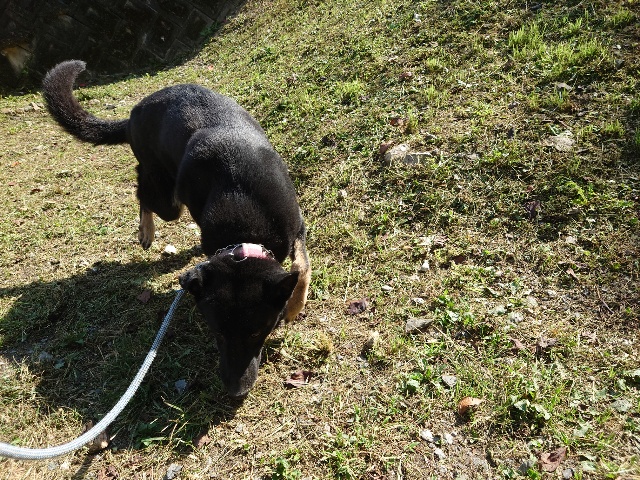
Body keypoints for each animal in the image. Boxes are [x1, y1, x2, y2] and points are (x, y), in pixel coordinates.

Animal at [42, 60, 311, 397]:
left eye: (258, 332)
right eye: (216, 333)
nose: (235, 391)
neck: (245, 230)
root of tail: (135, 111)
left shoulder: (296, 227)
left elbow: (301, 266)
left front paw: (294, 305)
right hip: (169, 199)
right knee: (142, 189)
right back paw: (145, 230)